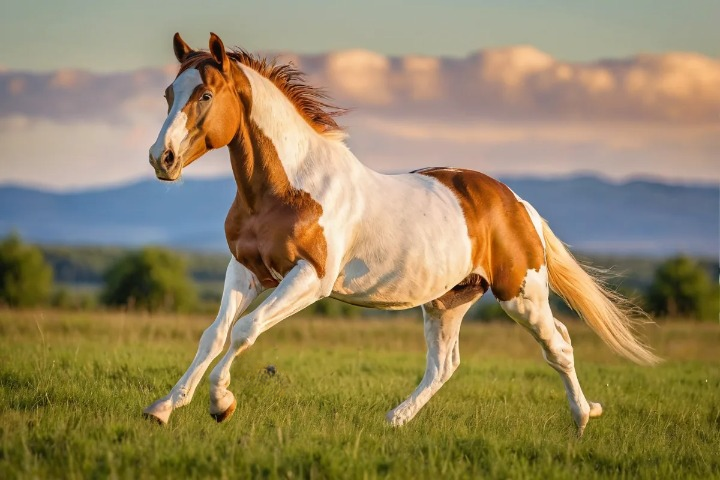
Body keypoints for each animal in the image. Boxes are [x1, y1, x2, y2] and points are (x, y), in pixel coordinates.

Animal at [143, 32, 659, 436]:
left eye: (205, 95)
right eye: (169, 93)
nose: (161, 159)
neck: (290, 187)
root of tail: (516, 203)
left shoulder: (310, 278)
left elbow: (244, 330)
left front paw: (221, 405)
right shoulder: (245, 270)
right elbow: (213, 335)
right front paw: (163, 409)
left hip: (522, 294)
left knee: (559, 345)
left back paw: (582, 419)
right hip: (449, 300)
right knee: (444, 365)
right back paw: (394, 420)